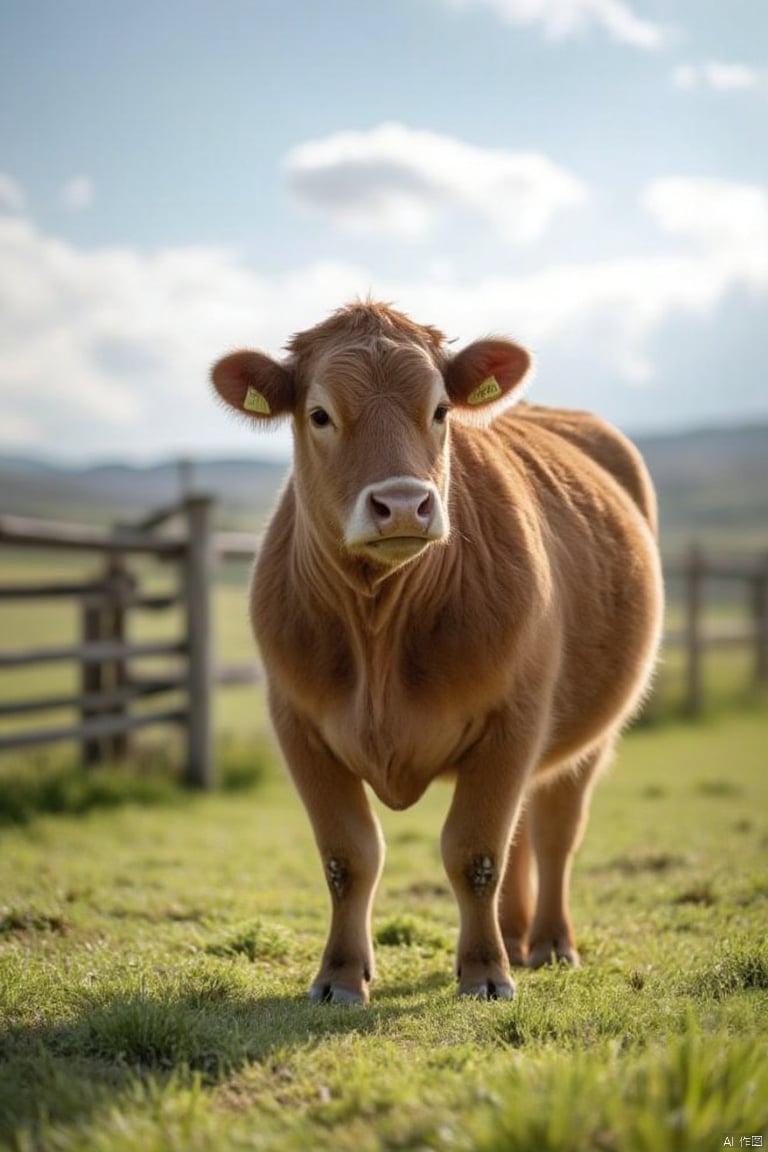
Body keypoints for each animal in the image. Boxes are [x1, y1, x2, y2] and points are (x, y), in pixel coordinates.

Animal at [213, 301, 663, 1004]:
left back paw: (547, 943)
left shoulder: (513, 718)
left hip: (589, 734)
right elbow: (348, 857)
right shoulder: (298, 723)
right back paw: (516, 934)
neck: (379, 627)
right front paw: (340, 976)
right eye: (319, 414)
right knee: (524, 833)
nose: (402, 504)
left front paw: (485, 972)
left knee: (554, 831)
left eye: (440, 410)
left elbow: (474, 852)